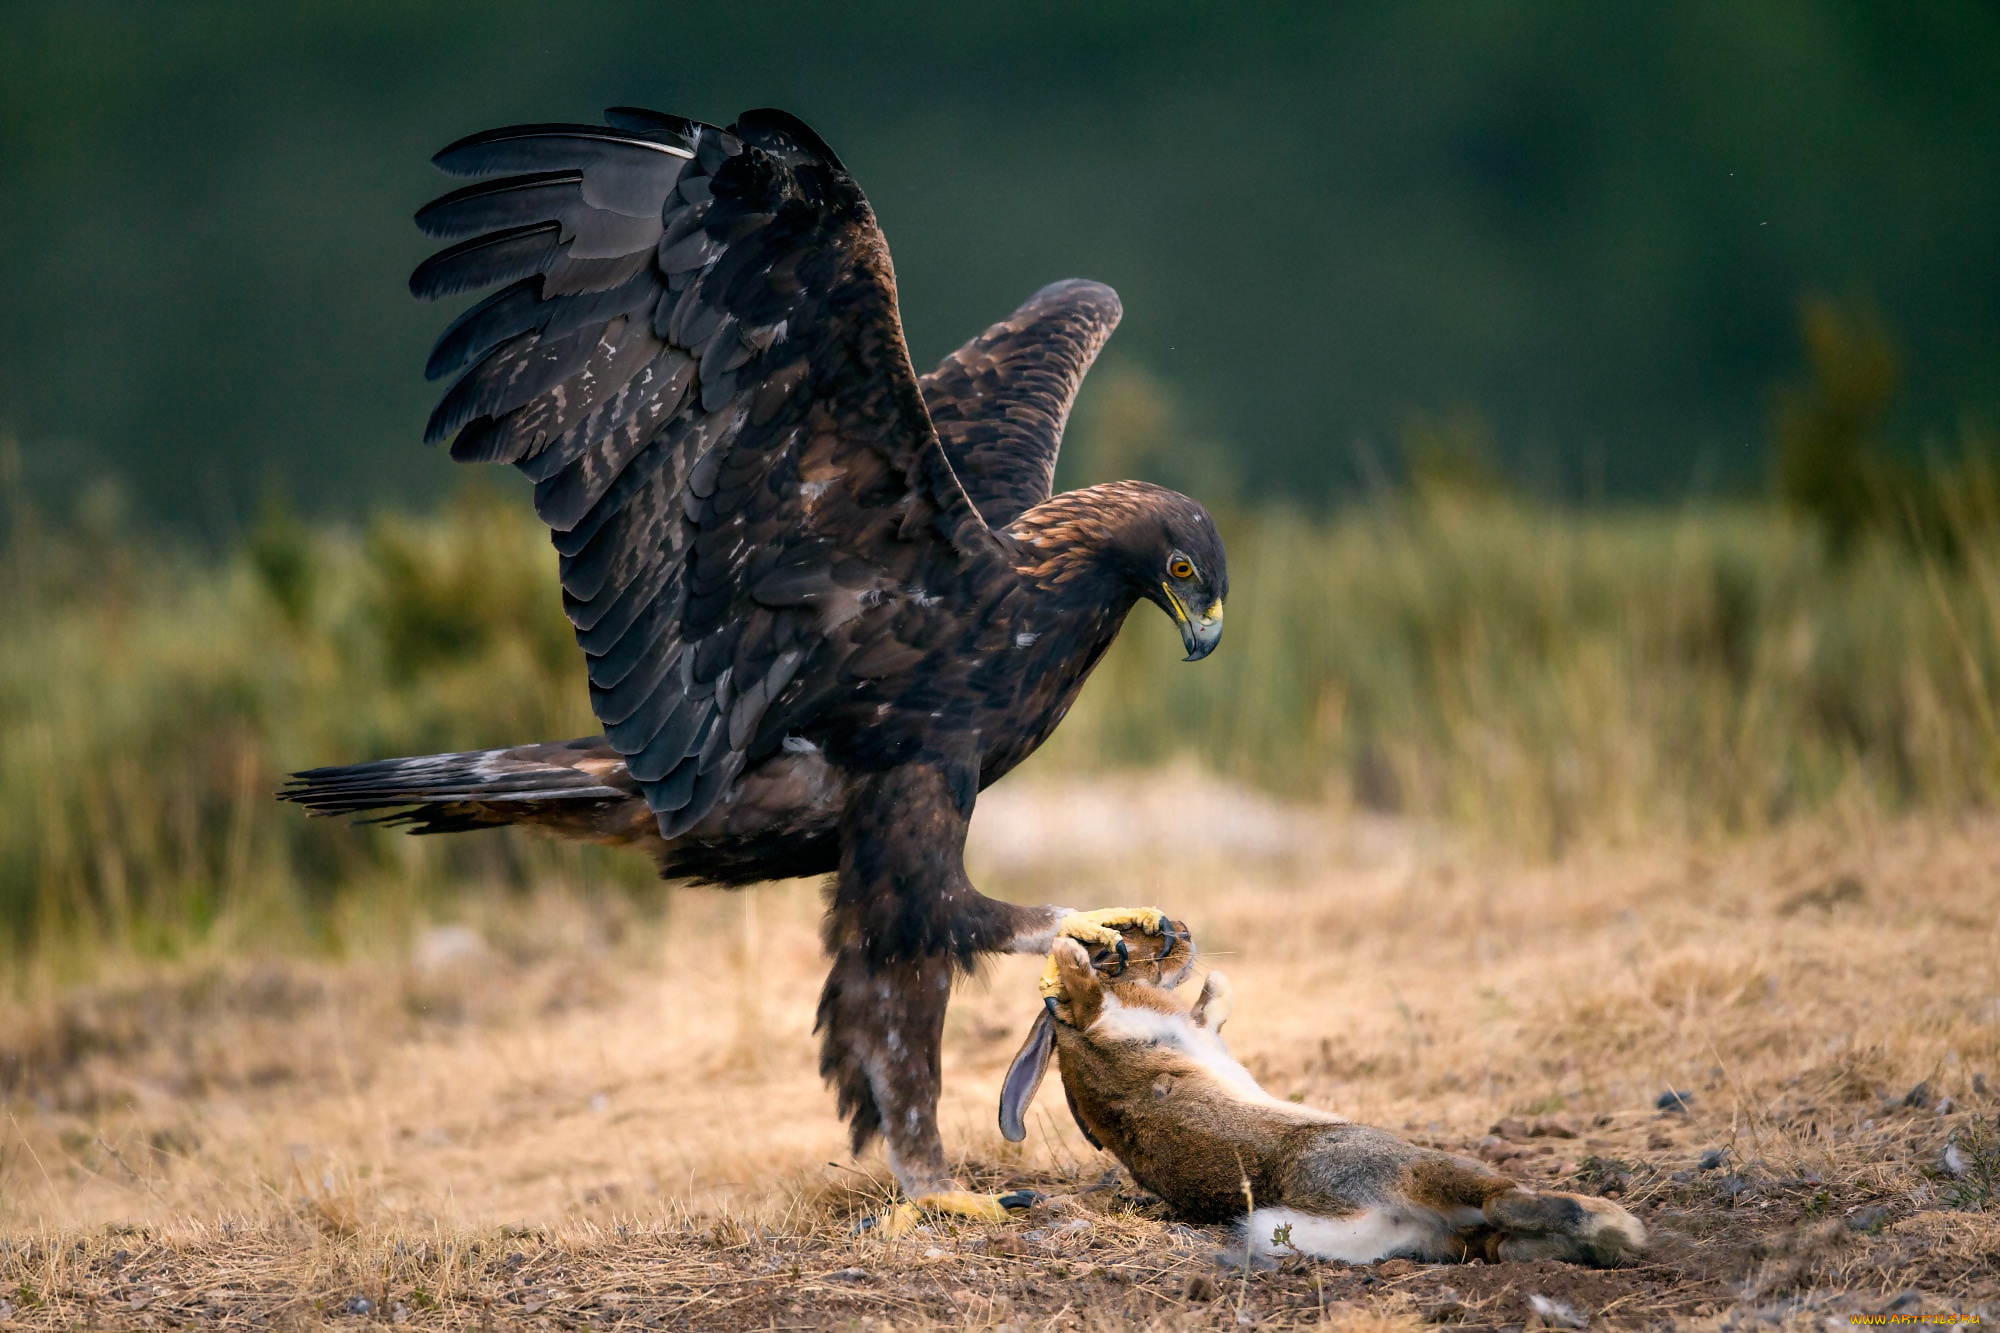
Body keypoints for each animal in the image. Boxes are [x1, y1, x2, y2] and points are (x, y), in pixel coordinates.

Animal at [1000, 934, 1646, 1266]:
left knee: (1494, 1234)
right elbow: (1113, 1004)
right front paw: (1070, 957)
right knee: (1501, 1198)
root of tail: (1356, 1212)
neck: (1075, 1041)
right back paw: (1616, 1228)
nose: (1177, 941)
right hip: (1407, 1163)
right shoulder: (1132, 1027)